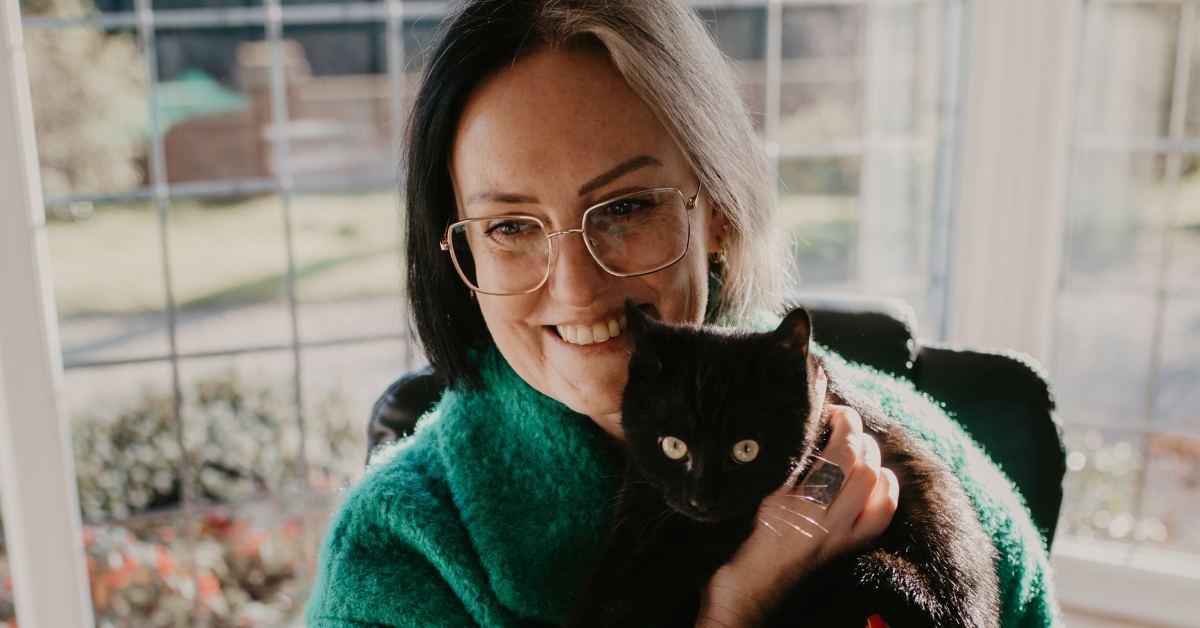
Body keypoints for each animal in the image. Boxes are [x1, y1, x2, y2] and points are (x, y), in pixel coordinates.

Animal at [566, 302, 998, 624]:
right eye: (672, 446)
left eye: (746, 450)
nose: (702, 500)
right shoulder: (638, 501)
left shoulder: (708, 531)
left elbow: (650, 574)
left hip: (877, 573)